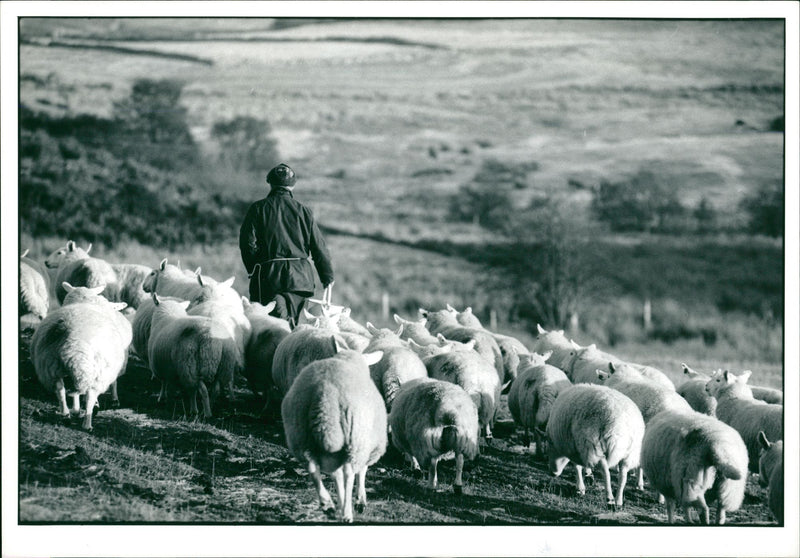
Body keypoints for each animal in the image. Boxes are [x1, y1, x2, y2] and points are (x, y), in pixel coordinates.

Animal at [30, 282, 131, 430]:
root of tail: (73, 341)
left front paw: (76, 410)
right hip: (96, 370)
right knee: (90, 394)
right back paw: (87, 423)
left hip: (50, 365)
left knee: (60, 390)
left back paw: (66, 414)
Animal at [282, 348, 388, 524]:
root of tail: (326, 392)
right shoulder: (367, 446)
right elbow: (362, 472)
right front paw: (359, 501)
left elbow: (335, 475)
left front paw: (341, 500)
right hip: (355, 440)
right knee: (349, 473)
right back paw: (347, 514)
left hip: (300, 436)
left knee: (312, 468)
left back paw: (328, 504)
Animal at [544, 384, 644, 512]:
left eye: (548, 448)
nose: (552, 473)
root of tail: (618, 425)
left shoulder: (575, 446)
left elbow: (577, 467)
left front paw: (580, 488)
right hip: (629, 453)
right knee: (623, 476)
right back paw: (619, 501)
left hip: (595, 446)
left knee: (606, 473)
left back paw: (610, 500)